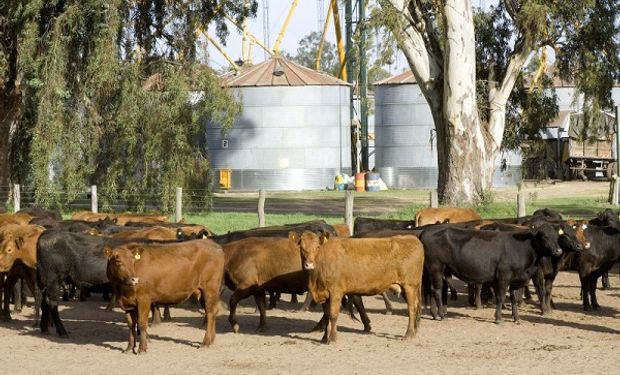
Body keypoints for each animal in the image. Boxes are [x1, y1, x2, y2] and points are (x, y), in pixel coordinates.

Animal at [290, 234, 424, 346]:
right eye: (301, 247)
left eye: (317, 247)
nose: (309, 264)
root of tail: (412, 238)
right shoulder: (325, 294)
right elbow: (327, 315)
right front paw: (324, 338)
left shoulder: (335, 292)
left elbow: (333, 315)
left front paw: (332, 338)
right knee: (416, 306)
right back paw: (415, 331)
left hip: (409, 286)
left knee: (411, 308)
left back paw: (409, 334)